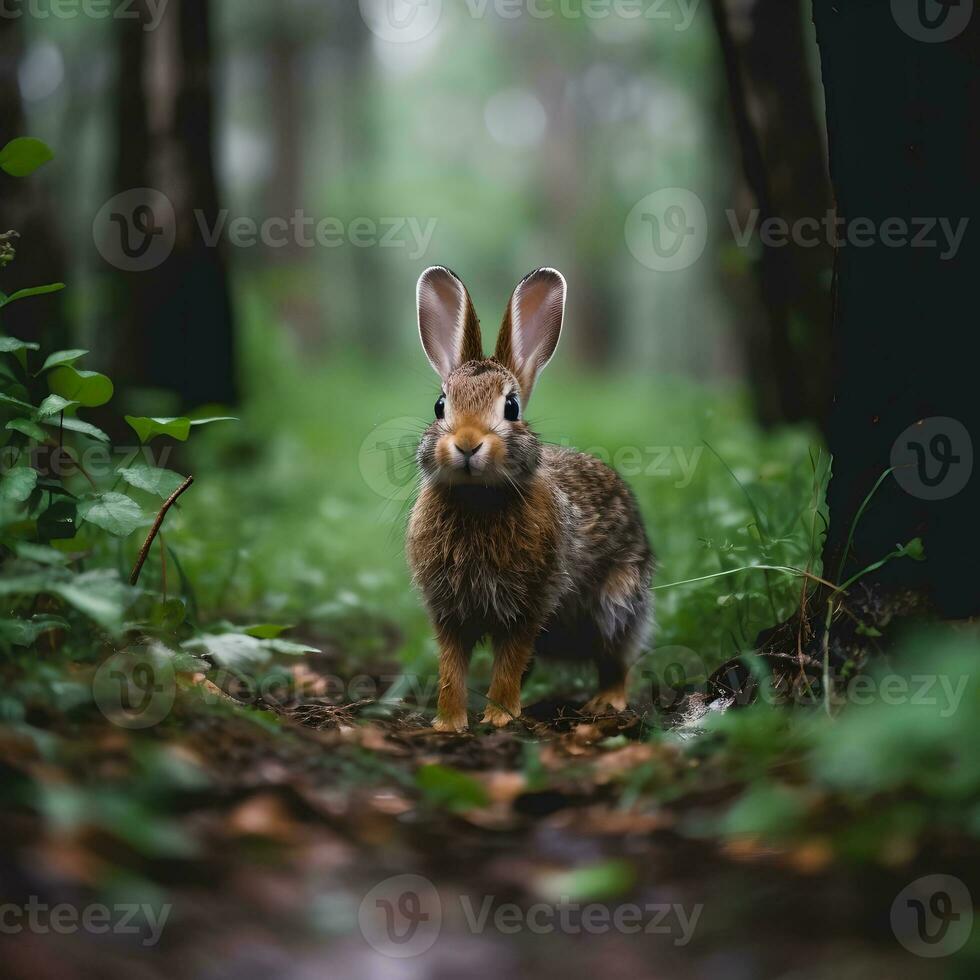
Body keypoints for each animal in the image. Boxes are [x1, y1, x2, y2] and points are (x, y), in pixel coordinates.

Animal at [406, 264, 660, 732]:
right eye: (439, 405)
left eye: (511, 407)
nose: (467, 443)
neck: (478, 499)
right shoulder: (447, 610)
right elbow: (451, 666)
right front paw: (449, 722)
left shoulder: (531, 603)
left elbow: (509, 659)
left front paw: (499, 718)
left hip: (618, 602)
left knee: (617, 657)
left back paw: (605, 703)